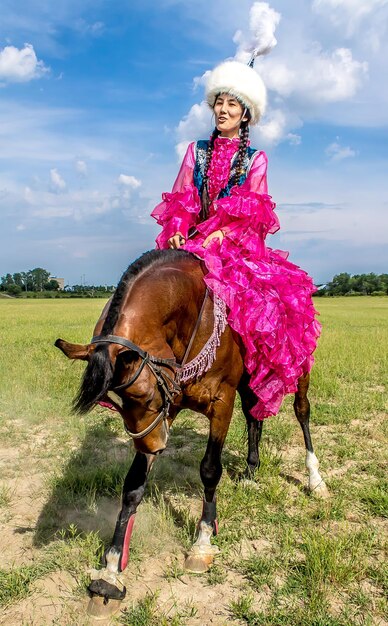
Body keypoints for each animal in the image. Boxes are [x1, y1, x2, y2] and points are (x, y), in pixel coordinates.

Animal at [54, 246, 328, 612]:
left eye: (143, 395)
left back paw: (315, 478)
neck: (192, 318)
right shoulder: (168, 406)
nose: (154, 447)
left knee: (301, 411)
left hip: (299, 368)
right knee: (254, 414)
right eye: (113, 404)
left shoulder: (220, 401)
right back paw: (251, 470)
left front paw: (203, 541)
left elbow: (210, 470)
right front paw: (111, 571)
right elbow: (133, 485)